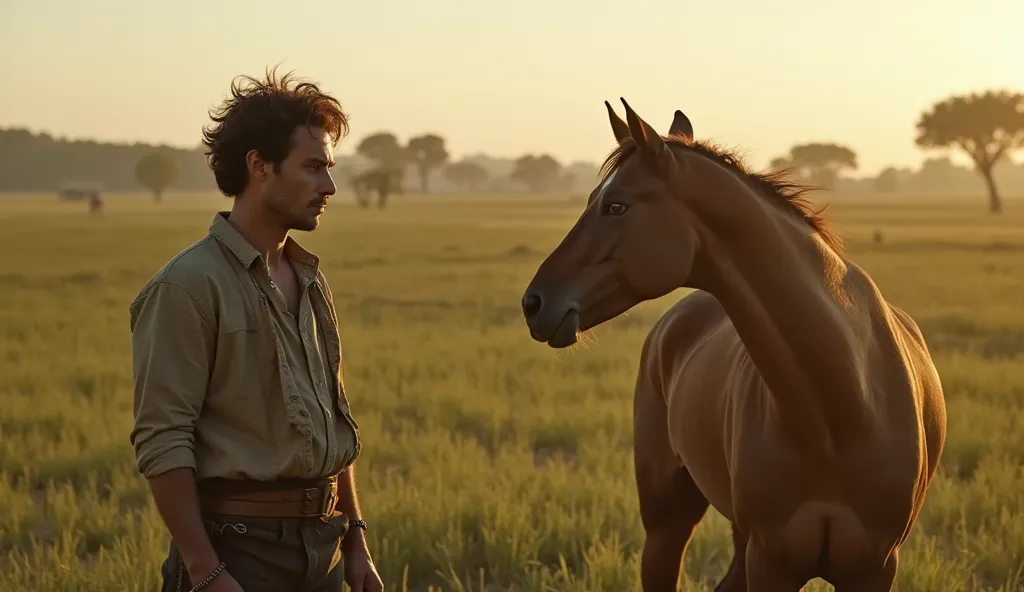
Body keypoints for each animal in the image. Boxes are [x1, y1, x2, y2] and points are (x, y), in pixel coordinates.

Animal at [524, 99, 946, 585]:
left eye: (615, 205)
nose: (534, 302)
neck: (841, 409)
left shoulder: (874, 566)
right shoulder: (771, 561)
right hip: (669, 523)